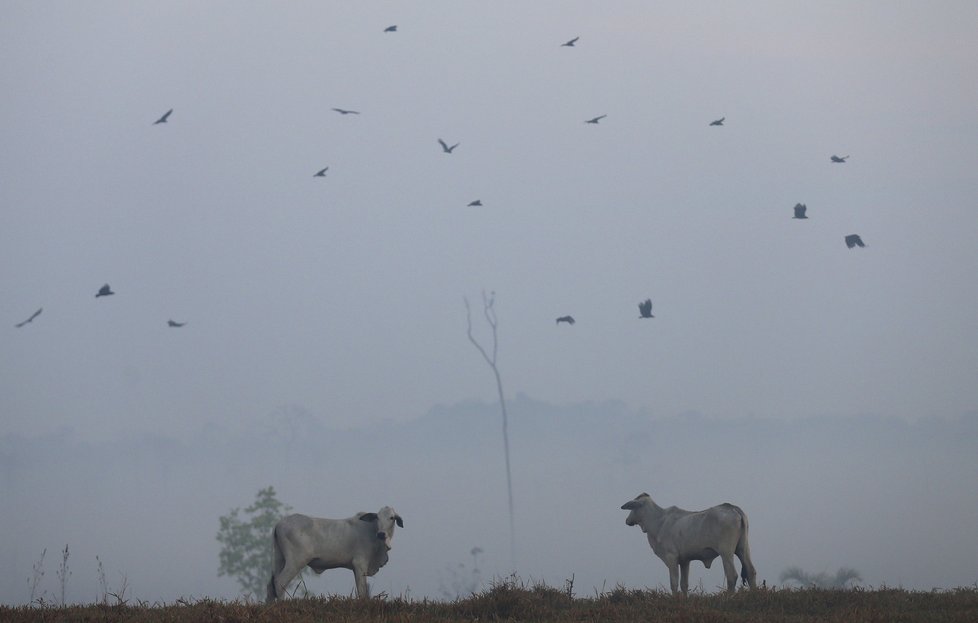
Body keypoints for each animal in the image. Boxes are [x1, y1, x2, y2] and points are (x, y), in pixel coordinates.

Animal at [264, 508, 402, 604]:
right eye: (377, 517)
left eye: (392, 517)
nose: (381, 534)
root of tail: (280, 523)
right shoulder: (360, 564)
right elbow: (362, 591)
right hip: (296, 562)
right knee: (280, 582)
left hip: (280, 559)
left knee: (271, 586)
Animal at [620, 492, 760, 596]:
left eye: (632, 507)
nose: (627, 520)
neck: (658, 521)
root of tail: (733, 508)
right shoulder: (685, 561)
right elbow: (684, 584)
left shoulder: (671, 557)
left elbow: (674, 582)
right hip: (743, 549)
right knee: (751, 571)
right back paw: (753, 596)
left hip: (726, 552)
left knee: (732, 575)